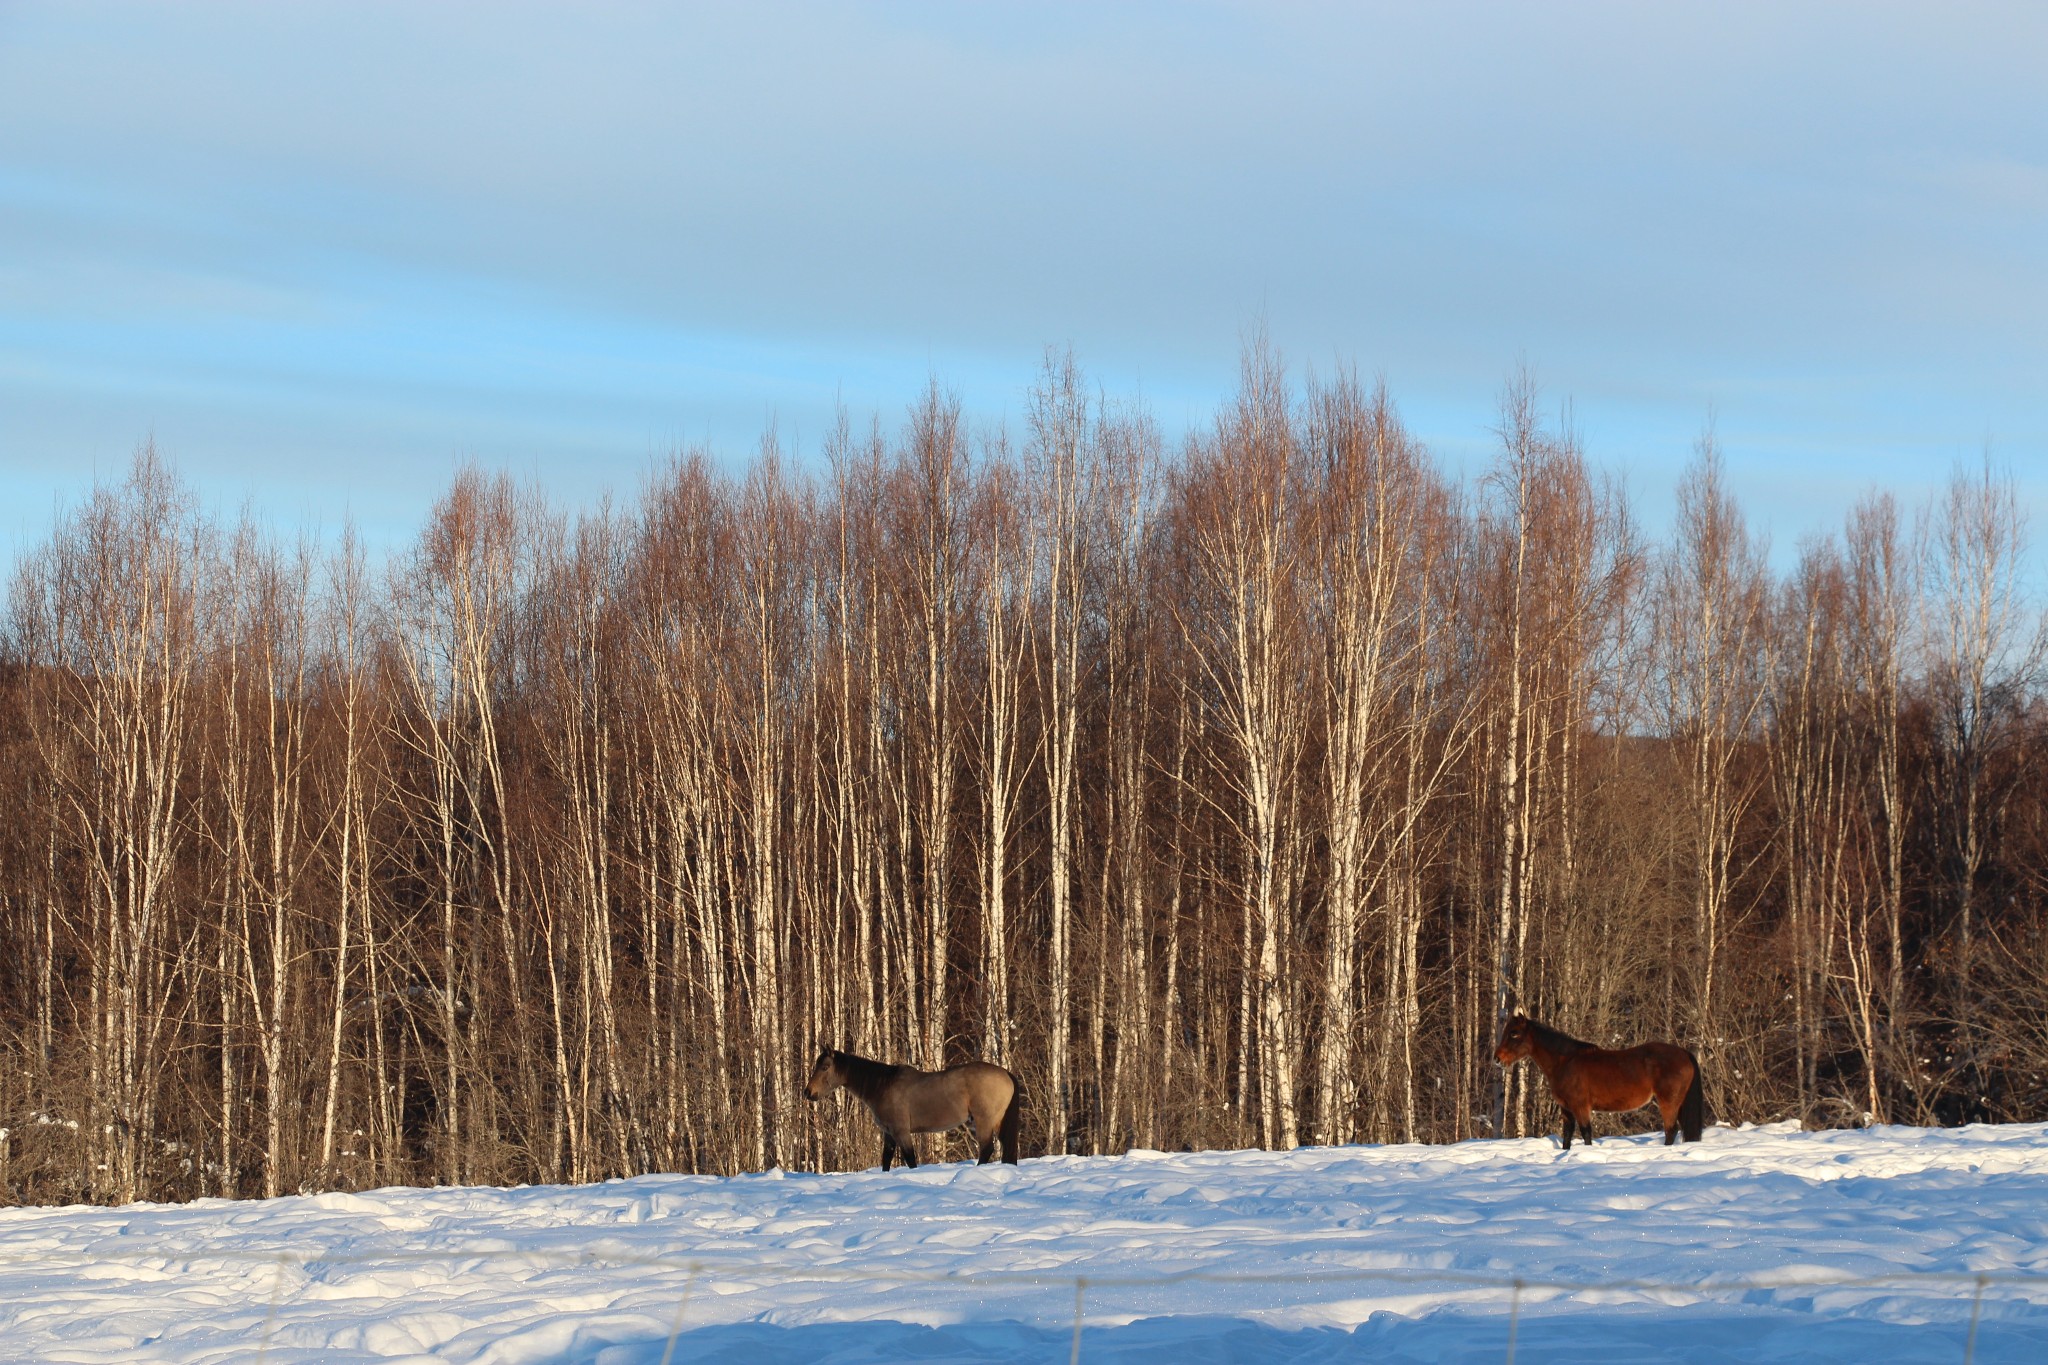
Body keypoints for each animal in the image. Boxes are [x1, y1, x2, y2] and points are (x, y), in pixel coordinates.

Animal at [798, 1055, 1024, 1170]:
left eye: (825, 1067)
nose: (808, 1092)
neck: (882, 1085)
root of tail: (1005, 1073)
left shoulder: (901, 1132)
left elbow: (910, 1159)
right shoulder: (889, 1133)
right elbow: (886, 1160)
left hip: (984, 1122)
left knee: (986, 1149)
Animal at [1499, 1015, 1703, 1154]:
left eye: (1514, 1033)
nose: (1497, 1059)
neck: (1565, 1061)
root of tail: (1684, 1054)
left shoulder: (1581, 1107)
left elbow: (1586, 1133)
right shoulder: (1566, 1108)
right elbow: (1567, 1136)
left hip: (1668, 1102)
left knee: (1670, 1131)